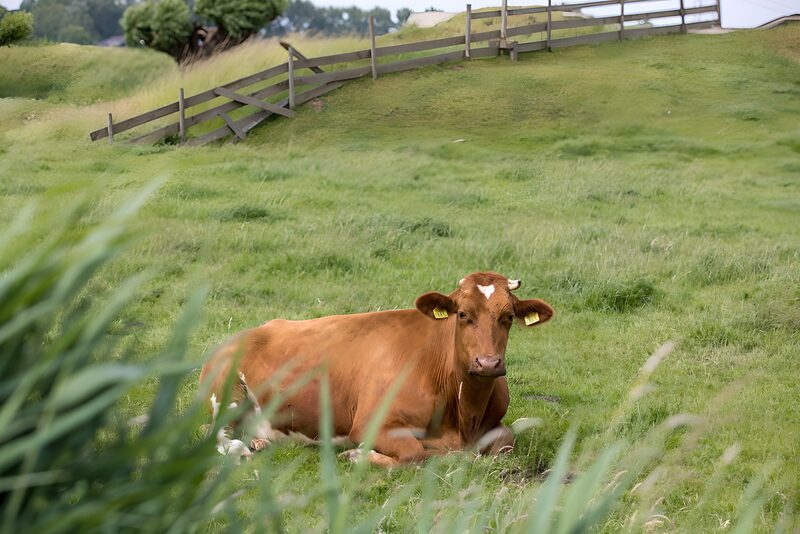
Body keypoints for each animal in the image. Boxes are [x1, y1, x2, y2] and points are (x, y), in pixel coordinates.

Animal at [199, 271, 554, 467]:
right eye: (463, 314)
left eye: (508, 316)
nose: (488, 363)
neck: (464, 416)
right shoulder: (371, 424)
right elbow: (416, 454)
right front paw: (358, 457)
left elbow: (505, 442)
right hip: (226, 394)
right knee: (217, 436)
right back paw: (242, 449)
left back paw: (261, 442)